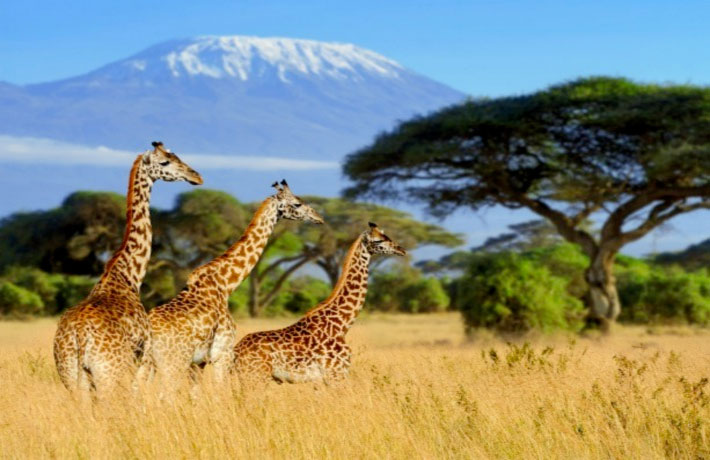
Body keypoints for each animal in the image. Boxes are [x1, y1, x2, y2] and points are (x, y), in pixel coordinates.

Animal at [53, 142, 203, 395]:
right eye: (165, 162)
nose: (196, 176)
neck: (128, 275)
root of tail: (78, 338)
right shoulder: (143, 358)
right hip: (110, 373)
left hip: (71, 376)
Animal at [146, 180, 324, 386]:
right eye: (297, 203)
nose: (319, 218)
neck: (225, 284)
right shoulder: (222, 354)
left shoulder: (199, 362)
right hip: (173, 362)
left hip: (147, 363)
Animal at [233, 222, 406, 385]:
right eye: (378, 240)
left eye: (387, 236)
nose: (402, 250)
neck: (342, 325)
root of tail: (235, 352)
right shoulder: (336, 375)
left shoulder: (323, 380)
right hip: (255, 377)